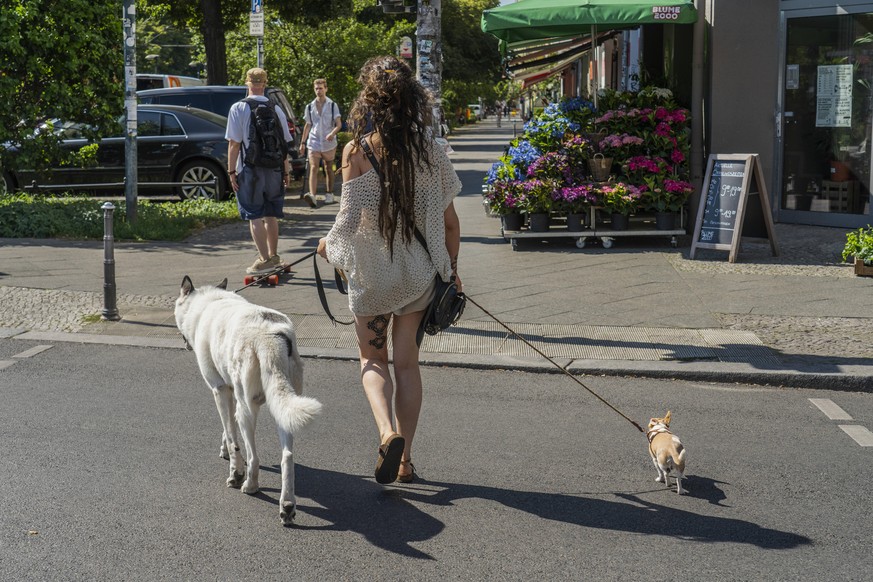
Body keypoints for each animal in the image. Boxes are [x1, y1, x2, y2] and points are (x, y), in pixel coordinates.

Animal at [173, 276, 320, 528]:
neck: (207, 304)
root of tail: (270, 338)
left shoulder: (220, 391)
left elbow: (233, 439)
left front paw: (235, 471)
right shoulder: (229, 391)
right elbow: (227, 431)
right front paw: (224, 449)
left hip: (247, 411)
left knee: (254, 456)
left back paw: (250, 485)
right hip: (283, 409)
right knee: (287, 457)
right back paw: (287, 506)